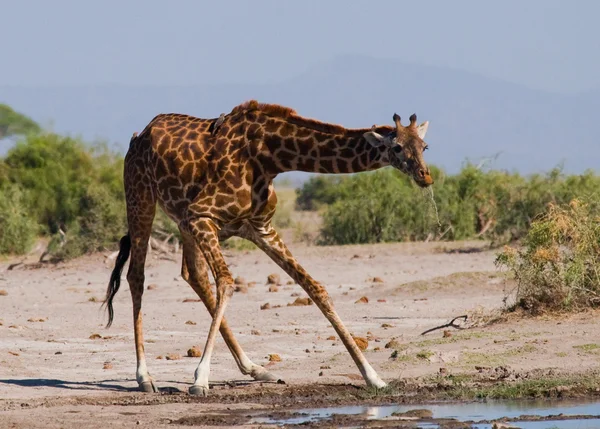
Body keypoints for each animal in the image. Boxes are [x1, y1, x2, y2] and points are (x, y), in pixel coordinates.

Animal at [103, 99, 432, 394]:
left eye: (424, 146)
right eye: (396, 147)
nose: (425, 176)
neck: (270, 157)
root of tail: (139, 136)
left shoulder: (259, 228)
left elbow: (316, 289)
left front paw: (374, 377)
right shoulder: (202, 214)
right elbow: (227, 282)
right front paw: (200, 380)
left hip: (183, 222)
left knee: (193, 275)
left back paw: (256, 368)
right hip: (141, 198)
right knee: (137, 276)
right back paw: (145, 377)